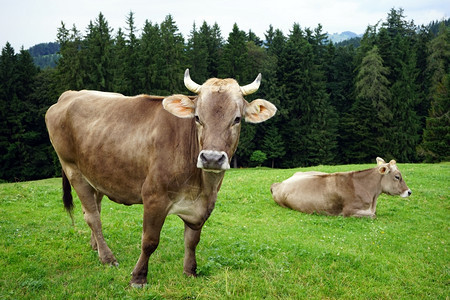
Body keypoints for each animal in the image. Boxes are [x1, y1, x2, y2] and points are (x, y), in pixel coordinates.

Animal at [46, 69, 278, 286]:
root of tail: (69, 94)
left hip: (96, 174)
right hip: (73, 170)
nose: (212, 158)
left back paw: (96, 246)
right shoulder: (154, 196)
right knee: (92, 216)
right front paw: (138, 277)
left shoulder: (201, 208)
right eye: (197, 118)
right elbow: (149, 241)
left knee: (95, 209)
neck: (202, 186)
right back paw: (107, 257)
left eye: (237, 119)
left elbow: (192, 240)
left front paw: (190, 271)